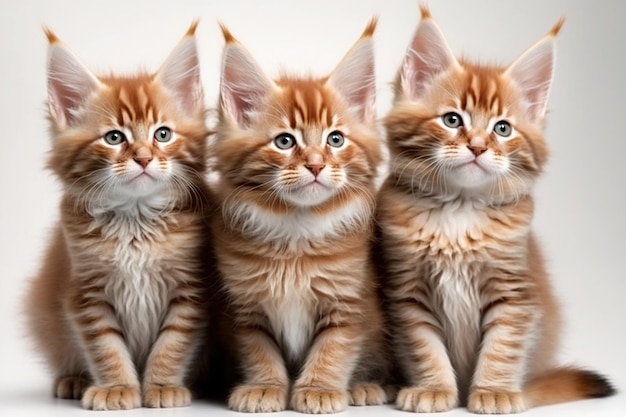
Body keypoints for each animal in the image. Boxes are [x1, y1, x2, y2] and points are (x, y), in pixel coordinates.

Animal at [25, 23, 214, 410]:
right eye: (114, 138)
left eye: (162, 134)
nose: (143, 157)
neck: (135, 221)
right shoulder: (86, 293)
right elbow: (105, 347)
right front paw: (116, 387)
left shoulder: (190, 291)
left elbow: (172, 343)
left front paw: (162, 385)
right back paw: (73, 379)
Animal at [210, 21, 390, 412]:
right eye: (284, 141)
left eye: (335, 139)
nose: (316, 165)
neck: (296, 234)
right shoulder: (245, 308)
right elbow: (260, 351)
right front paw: (264, 387)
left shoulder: (348, 303)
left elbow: (333, 349)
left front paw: (320, 390)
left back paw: (364, 386)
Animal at [376, 6, 616, 412]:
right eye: (452, 120)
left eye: (502, 129)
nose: (477, 147)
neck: (458, 210)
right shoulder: (408, 292)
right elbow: (425, 347)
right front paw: (434, 388)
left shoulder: (513, 292)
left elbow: (502, 347)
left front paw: (494, 391)